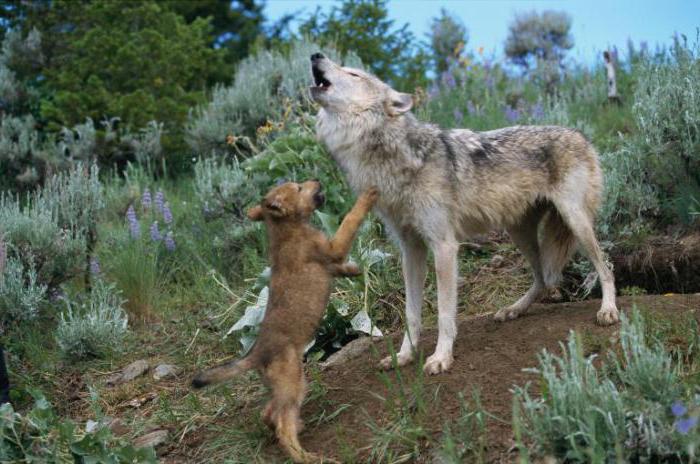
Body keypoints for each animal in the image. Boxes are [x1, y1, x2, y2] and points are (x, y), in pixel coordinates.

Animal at [191, 181, 378, 464]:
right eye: (299, 187)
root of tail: (255, 355)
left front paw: (355, 269)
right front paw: (367, 196)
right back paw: (307, 456)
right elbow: (350, 218)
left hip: (285, 387)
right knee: (281, 426)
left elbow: (342, 266)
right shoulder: (332, 247)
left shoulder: (331, 262)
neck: (287, 230)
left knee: (268, 414)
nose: (317, 181)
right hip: (293, 384)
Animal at [308, 52, 616, 376]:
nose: (316, 55)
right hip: (519, 233)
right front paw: (404, 356)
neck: (395, 158)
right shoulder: (411, 249)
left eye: (353, 73)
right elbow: (411, 312)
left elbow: (445, 312)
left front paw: (441, 357)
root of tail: (581, 135)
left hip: (575, 222)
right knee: (543, 278)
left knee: (605, 267)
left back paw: (608, 310)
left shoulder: (444, 246)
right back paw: (513, 310)